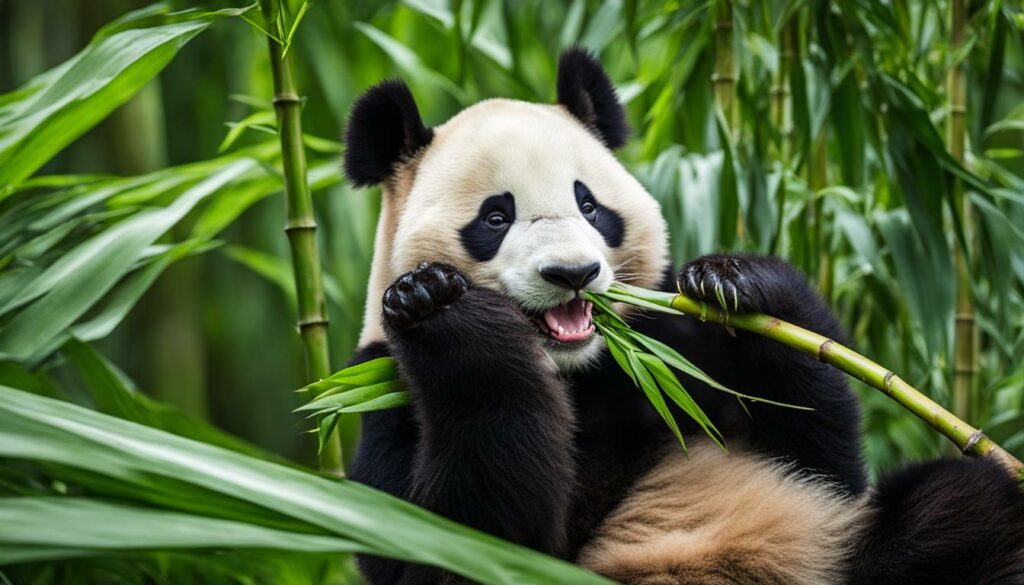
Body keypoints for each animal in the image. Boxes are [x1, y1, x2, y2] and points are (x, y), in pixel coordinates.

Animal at [342, 48, 1024, 584]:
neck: (580, 369)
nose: (572, 274)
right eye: (494, 217)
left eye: (589, 206)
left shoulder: (670, 345)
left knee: (964, 510)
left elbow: (824, 463)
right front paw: (439, 304)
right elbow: (453, 541)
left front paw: (735, 281)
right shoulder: (382, 388)